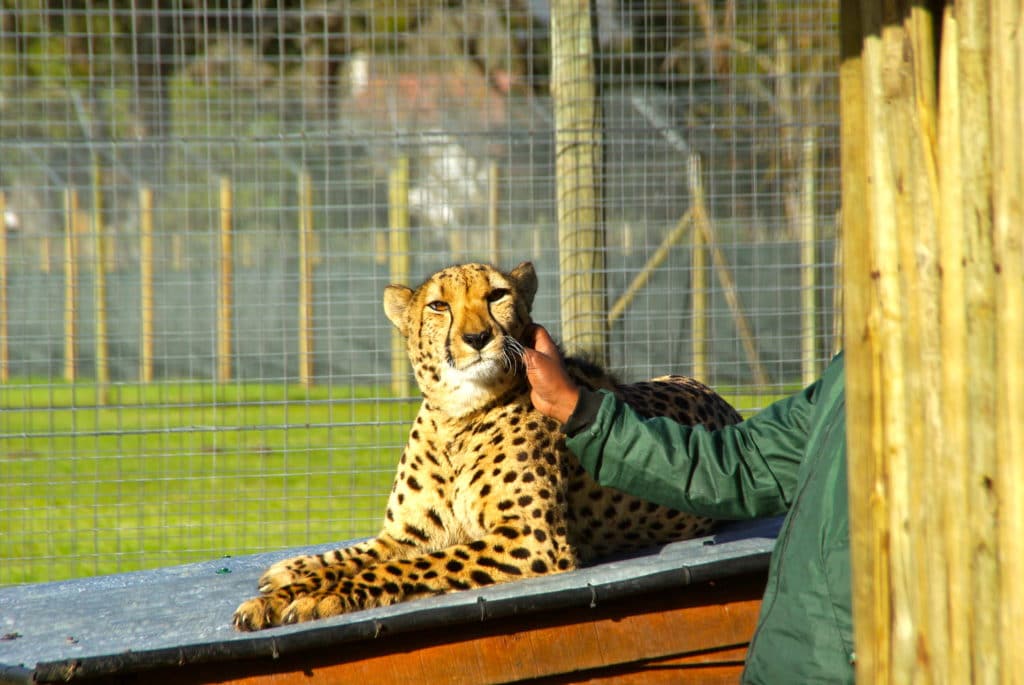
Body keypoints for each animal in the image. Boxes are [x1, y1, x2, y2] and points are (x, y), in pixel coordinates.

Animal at [234, 260, 741, 630]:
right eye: (439, 306)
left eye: (496, 296)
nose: (477, 337)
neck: (457, 417)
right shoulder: (408, 536)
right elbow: (358, 554)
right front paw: (289, 582)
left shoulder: (531, 540)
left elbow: (404, 568)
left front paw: (322, 596)